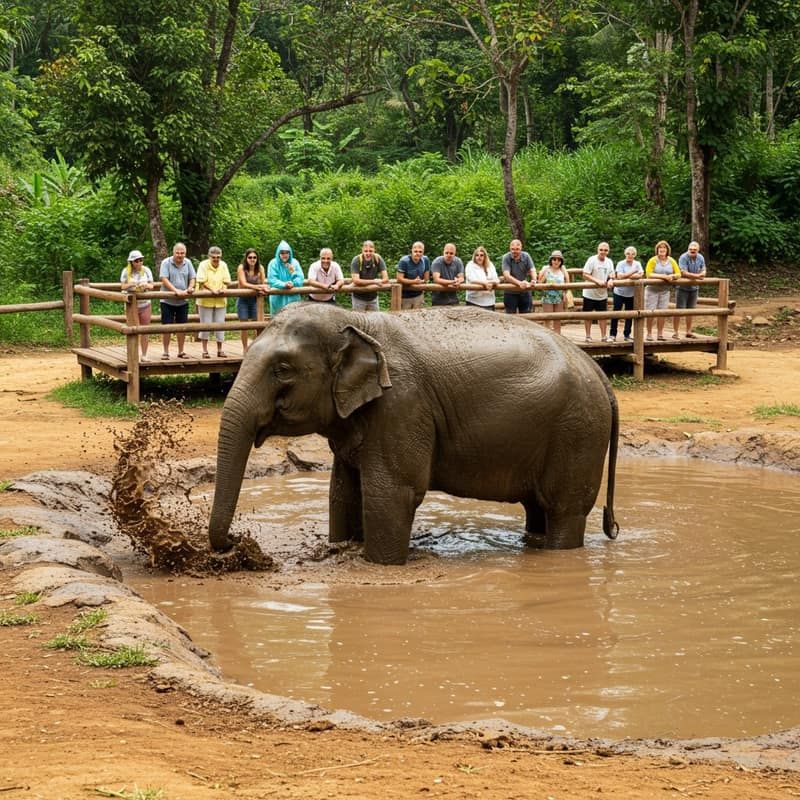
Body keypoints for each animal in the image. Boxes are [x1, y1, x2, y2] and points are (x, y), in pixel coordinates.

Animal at [208, 303, 619, 565]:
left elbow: (391, 494)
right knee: (536, 507)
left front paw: (380, 566)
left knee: (564, 509)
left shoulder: (402, 405)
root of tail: (598, 372)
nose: (236, 543)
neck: (356, 321)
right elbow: (342, 492)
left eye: (282, 370)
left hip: (578, 433)